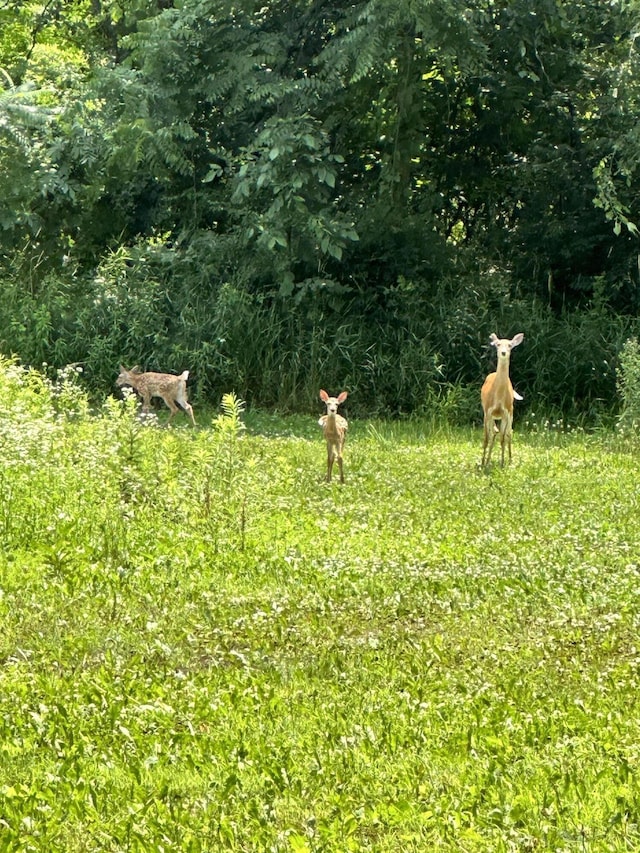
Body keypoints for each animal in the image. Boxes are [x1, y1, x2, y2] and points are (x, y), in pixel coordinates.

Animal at [480, 332, 524, 470]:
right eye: (498, 344)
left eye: (510, 345)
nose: (503, 352)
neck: (498, 398)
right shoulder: (488, 411)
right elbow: (486, 438)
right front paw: (482, 464)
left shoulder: (506, 412)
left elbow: (503, 438)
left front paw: (502, 463)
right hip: (490, 415)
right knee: (494, 432)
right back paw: (487, 462)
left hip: (511, 413)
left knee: (508, 433)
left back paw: (509, 460)